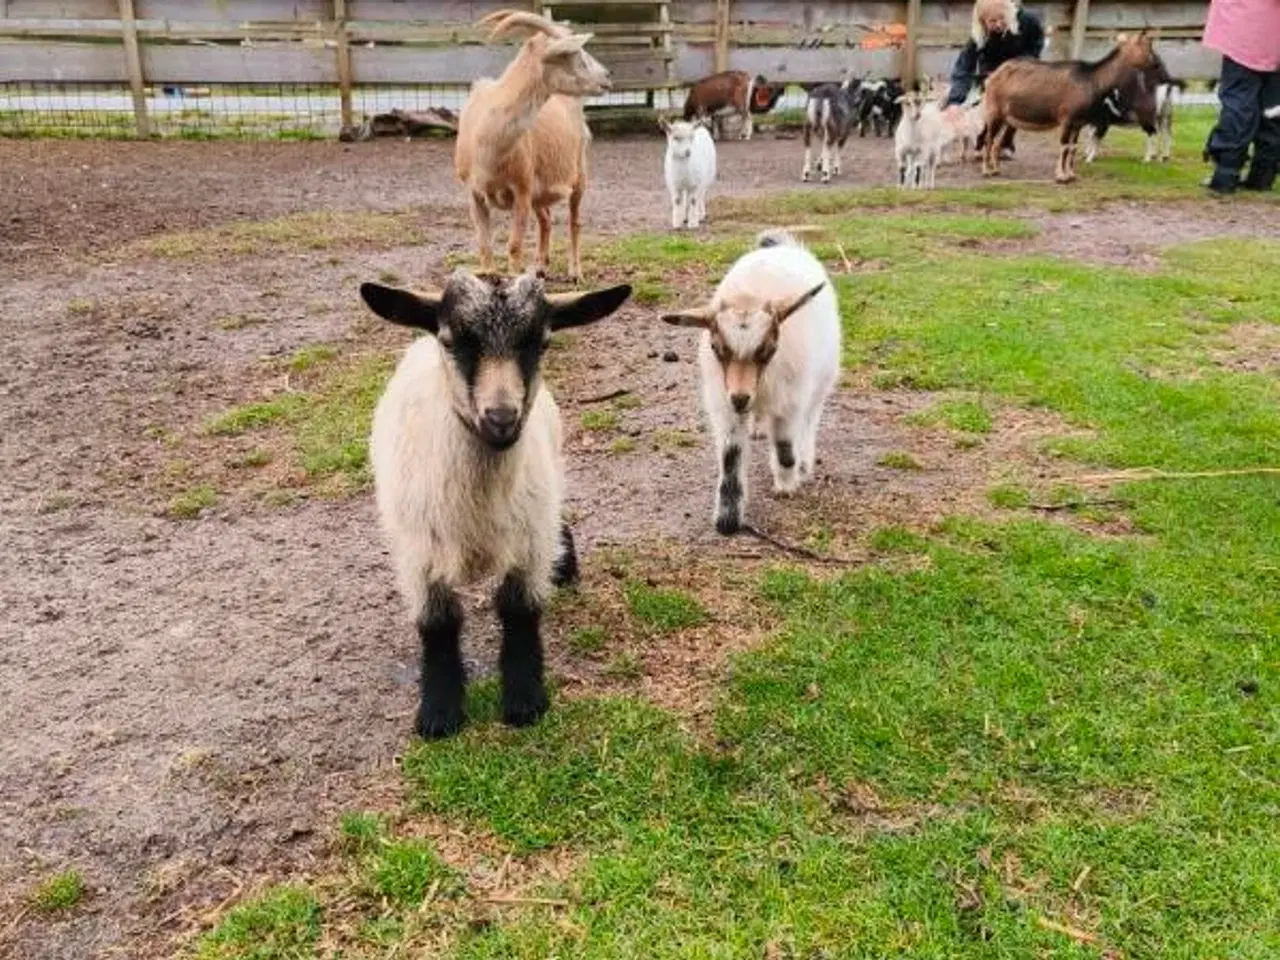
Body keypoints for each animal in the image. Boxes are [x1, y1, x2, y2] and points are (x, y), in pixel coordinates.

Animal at [360, 273, 629, 742]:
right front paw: (439, 711)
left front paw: (524, 699)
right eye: (452, 340)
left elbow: (520, 612)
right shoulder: (419, 554)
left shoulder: (530, 539)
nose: (501, 419)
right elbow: (438, 625)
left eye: (540, 342)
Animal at [453, 10, 611, 281]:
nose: (607, 77)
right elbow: (484, 245)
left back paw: (575, 273)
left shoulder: (522, 190)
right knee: (546, 219)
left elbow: (514, 245)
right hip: (540, 191)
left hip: (579, 170)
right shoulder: (474, 193)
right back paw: (540, 267)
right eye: (572, 53)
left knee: (574, 221)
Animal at [660, 230, 839, 537]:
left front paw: (787, 484)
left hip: (820, 384)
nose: (741, 397)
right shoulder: (725, 404)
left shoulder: (790, 401)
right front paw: (727, 520)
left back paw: (804, 463)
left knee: (810, 421)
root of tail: (784, 248)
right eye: (716, 347)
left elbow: (785, 446)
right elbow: (731, 457)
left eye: (768, 348)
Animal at [977, 31, 1162, 183]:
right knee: (988, 139)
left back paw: (997, 169)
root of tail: (993, 75)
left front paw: (1071, 175)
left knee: (996, 142)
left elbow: (1073, 148)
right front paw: (1060, 176)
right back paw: (986, 171)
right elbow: (1064, 145)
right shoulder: (1067, 119)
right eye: (1147, 47)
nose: (1157, 64)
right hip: (994, 112)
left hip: (1007, 118)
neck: (1092, 80)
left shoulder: (1078, 123)